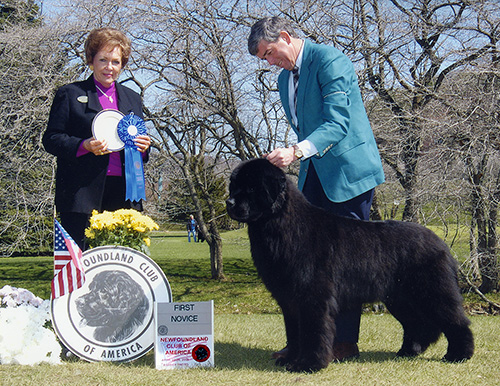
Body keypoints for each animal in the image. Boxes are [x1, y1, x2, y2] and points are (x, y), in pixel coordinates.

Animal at [226, 158, 472, 372]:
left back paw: (459, 355)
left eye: (250, 188)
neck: (281, 225)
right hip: (400, 298)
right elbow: (294, 332)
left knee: (456, 321)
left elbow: (313, 332)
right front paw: (291, 359)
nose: (228, 203)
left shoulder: (313, 297)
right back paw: (408, 351)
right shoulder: (289, 299)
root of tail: (441, 243)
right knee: (419, 324)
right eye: (233, 186)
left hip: (433, 292)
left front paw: (308, 364)